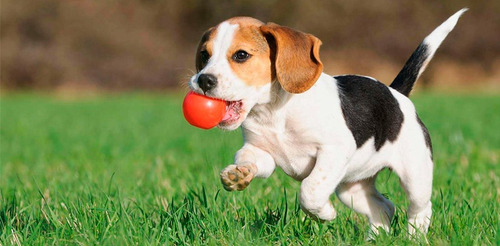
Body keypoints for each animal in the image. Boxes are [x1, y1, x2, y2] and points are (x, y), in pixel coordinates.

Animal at [188, 9, 468, 234]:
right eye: (204, 55)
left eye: (241, 55)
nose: (203, 80)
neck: (274, 112)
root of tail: (396, 93)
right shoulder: (261, 152)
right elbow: (249, 158)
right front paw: (238, 174)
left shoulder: (334, 151)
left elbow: (310, 190)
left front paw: (324, 214)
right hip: (351, 189)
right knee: (384, 208)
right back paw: (374, 238)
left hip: (415, 176)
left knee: (420, 209)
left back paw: (414, 237)